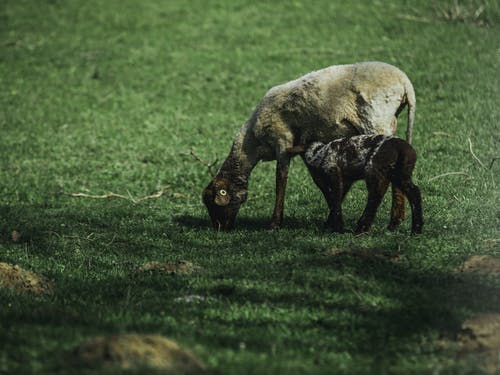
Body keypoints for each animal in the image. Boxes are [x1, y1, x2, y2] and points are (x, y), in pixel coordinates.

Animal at [288, 135, 424, 235]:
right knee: (415, 193)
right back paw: (416, 229)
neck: (318, 154)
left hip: (375, 170)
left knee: (375, 198)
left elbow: (335, 201)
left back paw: (361, 229)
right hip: (401, 173)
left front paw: (338, 229)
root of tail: (401, 148)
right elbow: (335, 202)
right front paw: (329, 225)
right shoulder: (345, 181)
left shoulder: (334, 174)